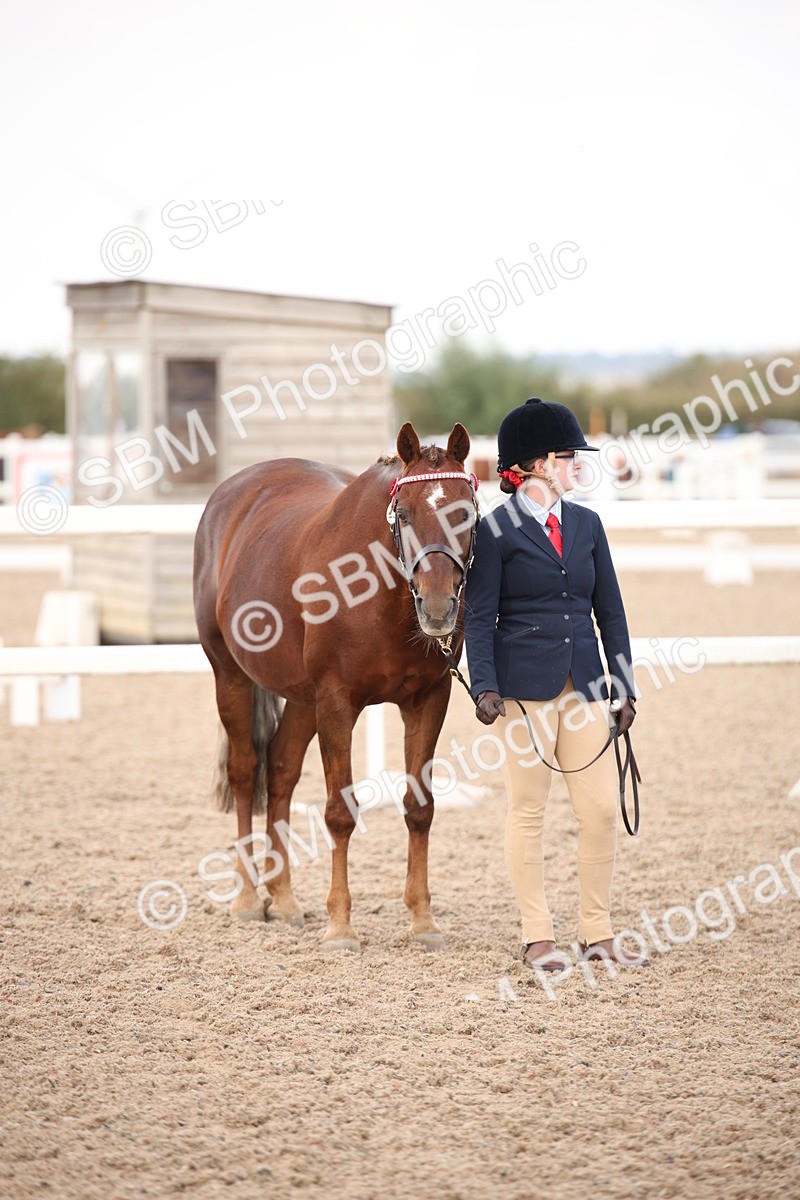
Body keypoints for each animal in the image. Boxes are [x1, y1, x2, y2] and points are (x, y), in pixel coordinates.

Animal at [193, 422, 479, 952]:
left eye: (465, 512)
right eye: (403, 514)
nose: (437, 608)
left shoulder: (429, 699)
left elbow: (419, 808)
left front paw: (422, 921)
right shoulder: (337, 702)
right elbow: (340, 812)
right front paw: (341, 926)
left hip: (302, 698)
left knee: (281, 770)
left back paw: (284, 899)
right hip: (231, 674)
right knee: (246, 771)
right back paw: (247, 899)